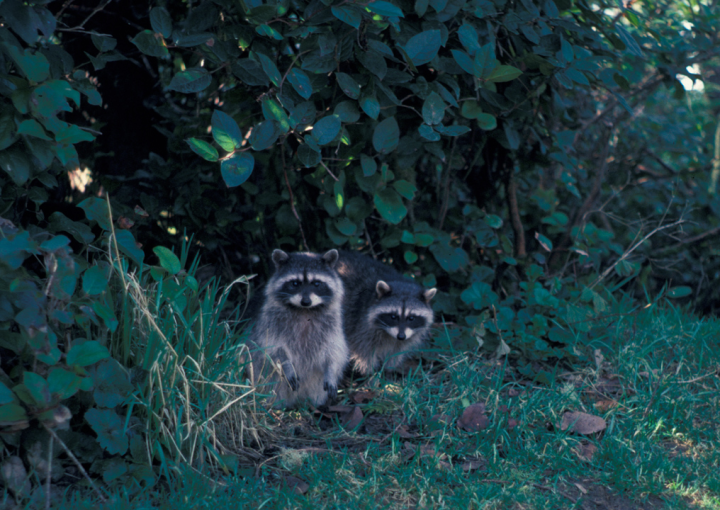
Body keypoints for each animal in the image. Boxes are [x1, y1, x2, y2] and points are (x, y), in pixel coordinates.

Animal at [248, 249, 348, 408]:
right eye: (295, 283)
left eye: (316, 283)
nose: (306, 301)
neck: (304, 311)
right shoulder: (271, 323)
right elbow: (273, 348)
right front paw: (287, 365)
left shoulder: (332, 324)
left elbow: (334, 350)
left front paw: (331, 371)